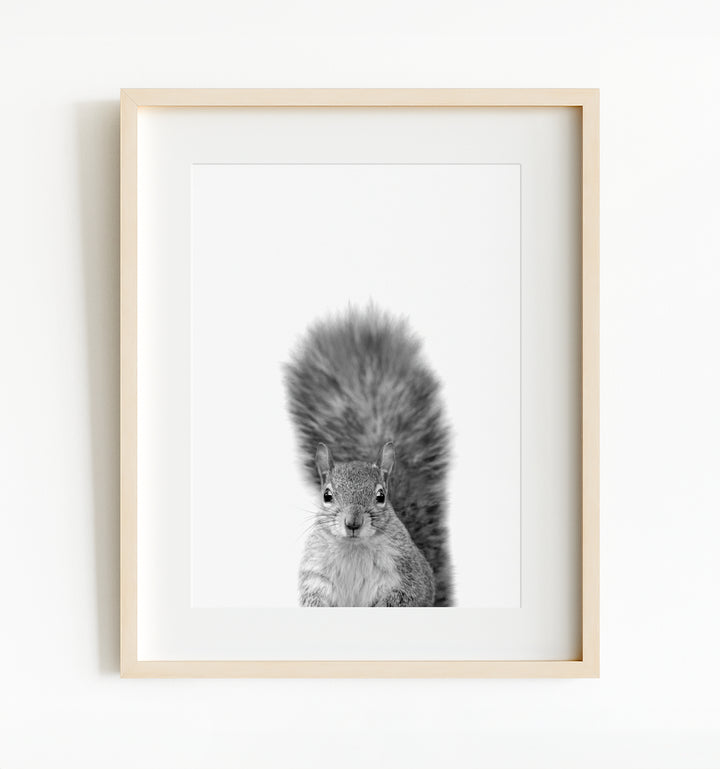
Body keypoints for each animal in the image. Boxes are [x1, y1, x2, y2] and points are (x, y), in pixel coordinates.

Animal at [284, 306, 453, 607]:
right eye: (327, 495)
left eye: (381, 496)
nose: (353, 522)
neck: (354, 548)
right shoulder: (316, 577)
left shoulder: (407, 578)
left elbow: (401, 598)